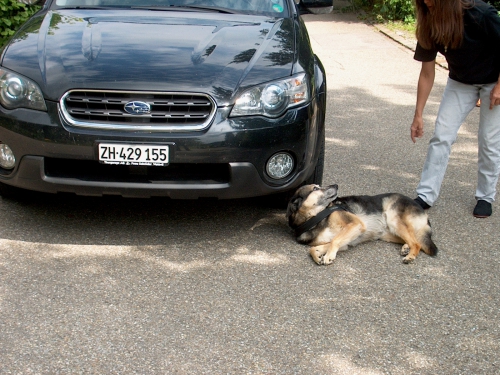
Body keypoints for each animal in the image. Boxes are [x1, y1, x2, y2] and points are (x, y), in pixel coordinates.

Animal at [286, 184, 438, 266]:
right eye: (315, 188)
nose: (336, 185)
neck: (317, 218)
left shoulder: (355, 224)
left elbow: (335, 241)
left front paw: (328, 256)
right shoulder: (343, 243)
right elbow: (314, 249)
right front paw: (318, 256)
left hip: (394, 221)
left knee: (417, 243)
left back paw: (410, 255)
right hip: (388, 233)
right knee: (414, 240)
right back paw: (406, 247)